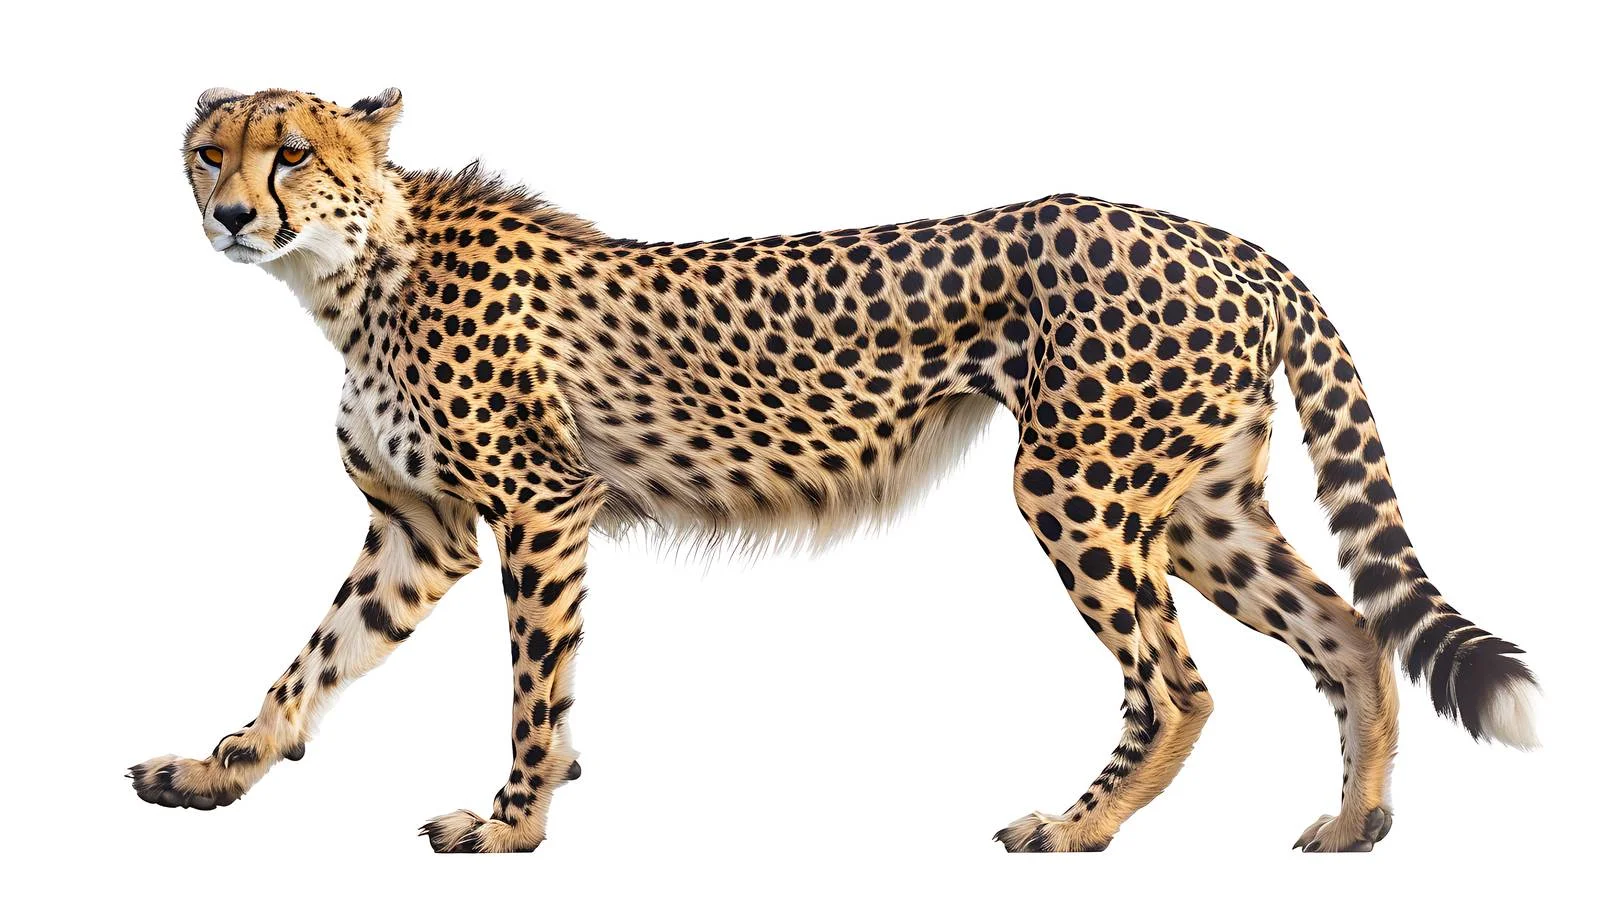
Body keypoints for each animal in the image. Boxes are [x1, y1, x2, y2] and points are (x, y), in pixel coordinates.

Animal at [132, 86, 1541, 854]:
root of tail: (1226, 237)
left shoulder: (541, 506)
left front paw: (514, 820)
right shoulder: (419, 534)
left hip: (1076, 485)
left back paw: (1075, 825)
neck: (355, 269)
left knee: (1178, 684)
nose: (232, 217)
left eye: (291, 150)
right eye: (211, 151)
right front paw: (216, 769)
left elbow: (534, 688)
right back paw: (1354, 824)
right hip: (1193, 503)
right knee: (1347, 631)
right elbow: (309, 664)